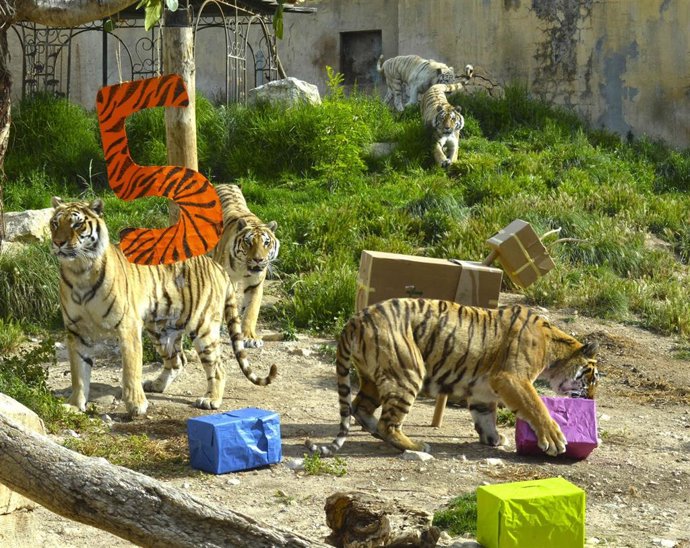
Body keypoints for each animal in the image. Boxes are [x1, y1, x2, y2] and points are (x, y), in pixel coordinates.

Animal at [50, 197, 277, 417]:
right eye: (54, 224)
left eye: (77, 224)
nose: (58, 242)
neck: (80, 271)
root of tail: (216, 265)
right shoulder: (77, 331)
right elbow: (78, 373)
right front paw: (74, 405)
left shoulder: (127, 327)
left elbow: (131, 370)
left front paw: (136, 405)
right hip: (160, 330)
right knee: (178, 360)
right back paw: (157, 385)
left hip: (202, 326)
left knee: (218, 367)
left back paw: (211, 399)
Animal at [211, 184, 280, 348]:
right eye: (248, 242)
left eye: (266, 243)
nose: (258, 260)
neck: (242, 267)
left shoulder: (255, 284)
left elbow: (251, 310)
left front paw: (250, 337)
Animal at [306, 299, 599, 457]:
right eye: (593, 378)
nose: (592, 399)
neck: (554, 349)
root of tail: (353, 321)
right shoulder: (512, 378)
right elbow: (536, 407)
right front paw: (555, 440)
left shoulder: (483, 391)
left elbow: (486, 416)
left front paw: (493, 439)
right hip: (407, 372)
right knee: (387, 424)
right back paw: (417, 445)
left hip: (373, 377)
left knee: (360, 407)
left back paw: (373, 429)